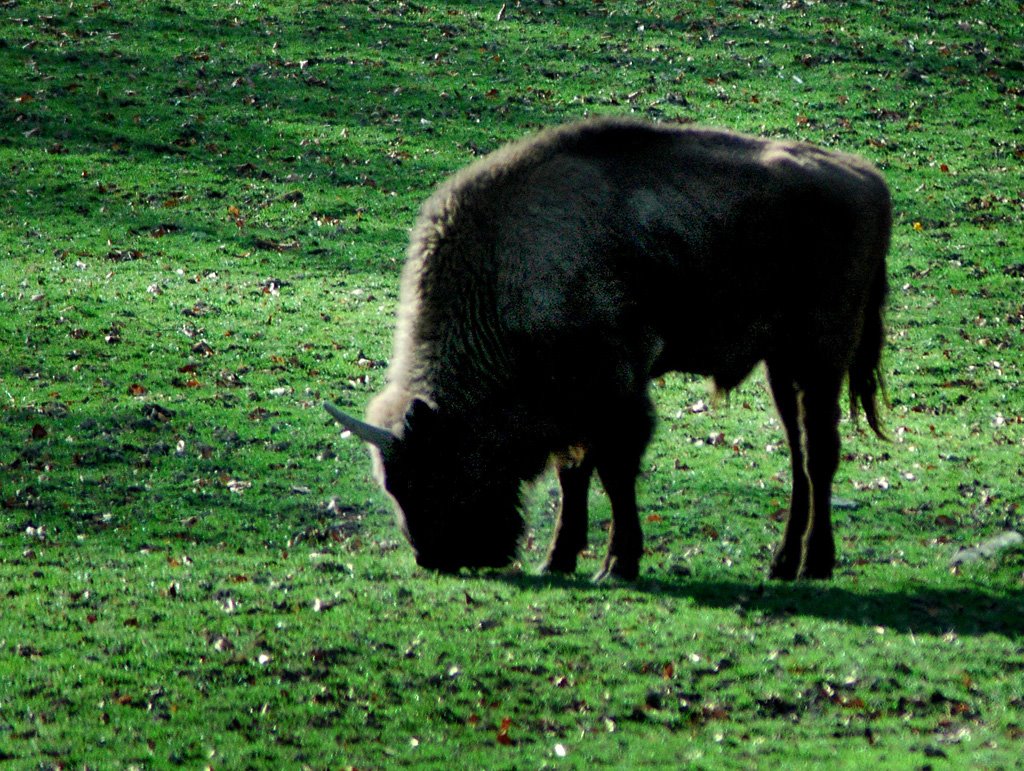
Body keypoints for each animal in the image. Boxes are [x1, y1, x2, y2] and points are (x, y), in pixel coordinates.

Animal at [329, 117, 888, 581]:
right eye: (392, 485)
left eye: (435, 472)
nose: (434, 557)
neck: (501, 277)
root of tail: (867, 179)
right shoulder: (571, 409)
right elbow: (573, 474)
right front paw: (557, 559)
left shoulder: (616, 393)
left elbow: (615, 474)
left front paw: (617, 564)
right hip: (782, 365)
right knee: (798, 457)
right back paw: (783, 563)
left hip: (820, 358)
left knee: (819, 454)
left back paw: (815, 564)